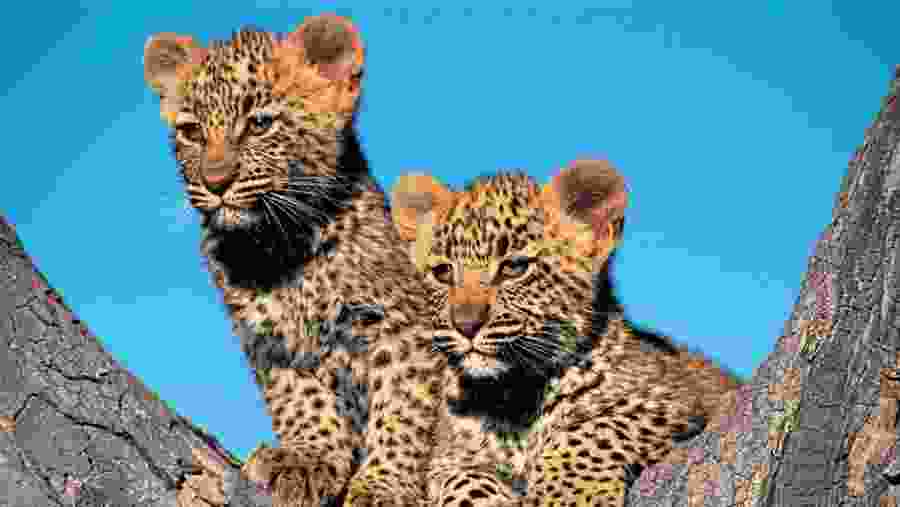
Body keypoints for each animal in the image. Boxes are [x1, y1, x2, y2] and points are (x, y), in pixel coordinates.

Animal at [142, 15, 445, 507]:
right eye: (191, 132)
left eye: (260, 124)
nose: (215, 182)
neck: (280, 246)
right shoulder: (269, 338)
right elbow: (298, 398)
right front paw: (305, 459)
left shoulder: (403, 329)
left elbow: (404, 410)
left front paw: (385, 484)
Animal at [389, 159, 742, 506]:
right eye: (443, 272)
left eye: (514, 267)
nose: (465, 325)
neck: (512, 399)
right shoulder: (447, 459)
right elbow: (463, 479)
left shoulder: (675, 402)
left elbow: (592, 430)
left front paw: (567, 495)